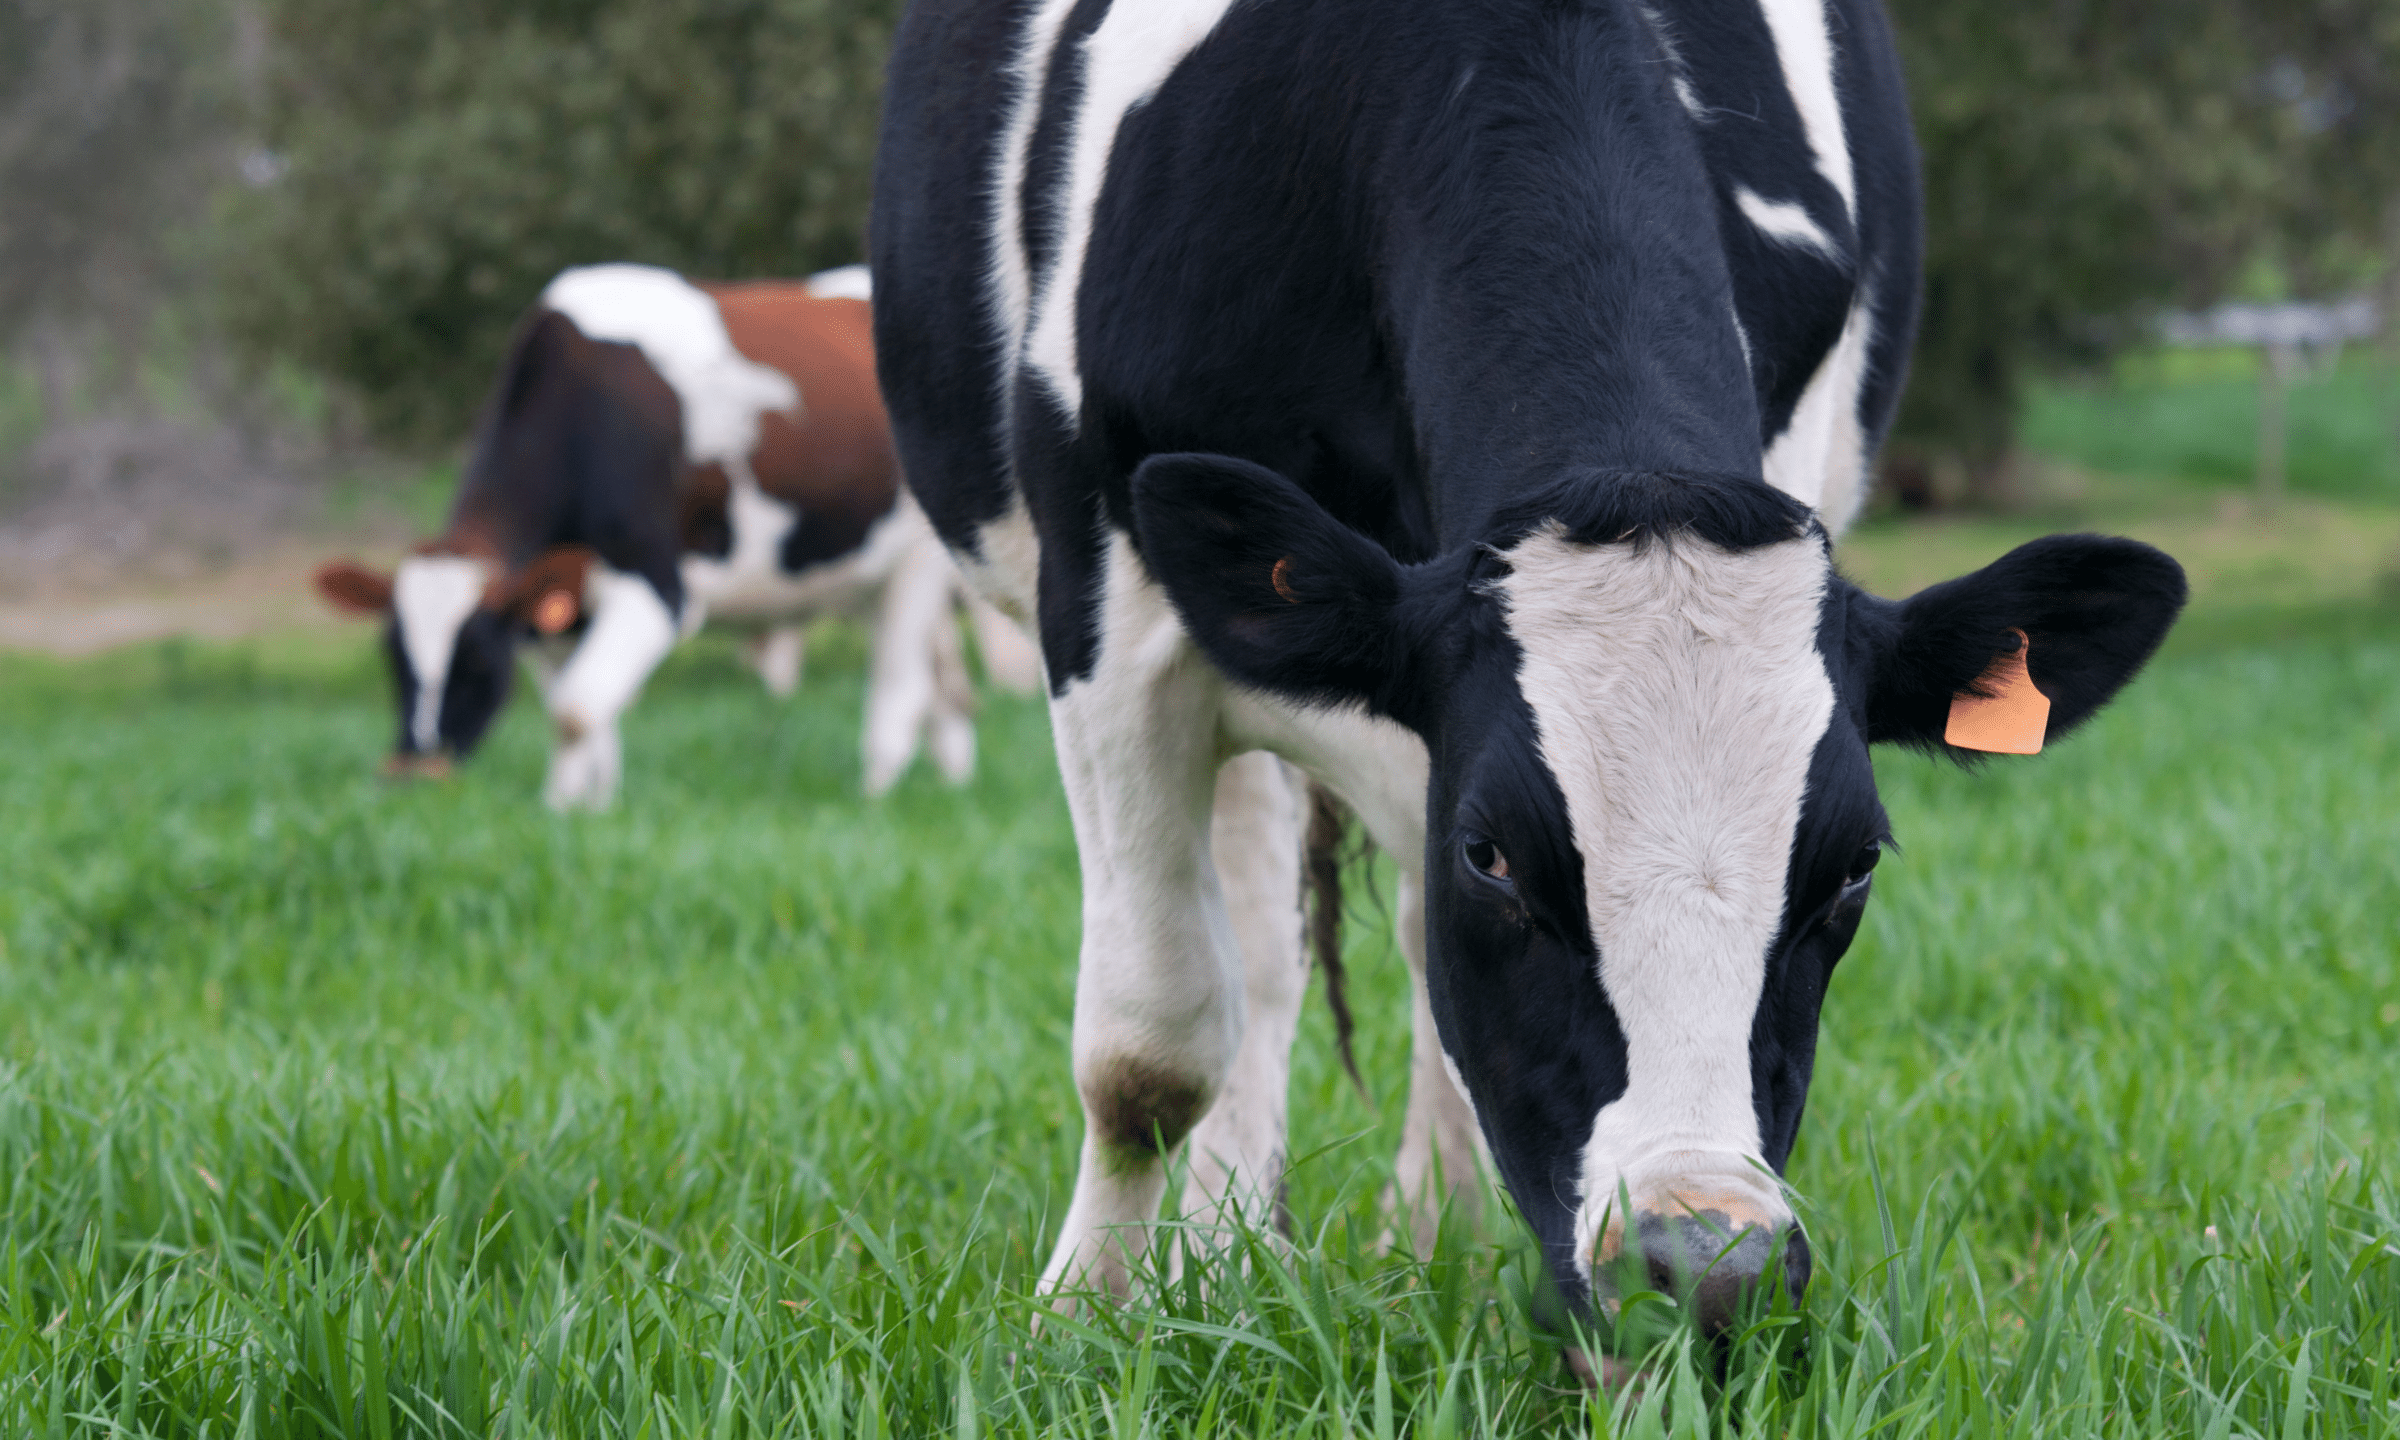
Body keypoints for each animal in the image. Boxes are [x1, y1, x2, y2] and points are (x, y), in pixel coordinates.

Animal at [868, 0, 2198, 1334]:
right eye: (1494, 855)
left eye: (1855, 867)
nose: (1704, 1267)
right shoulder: (1108, 596)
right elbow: (1148, 1047)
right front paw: (1086, 1312)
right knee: (1258, 940)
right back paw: (1219, 1251)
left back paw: (1423, 1228)